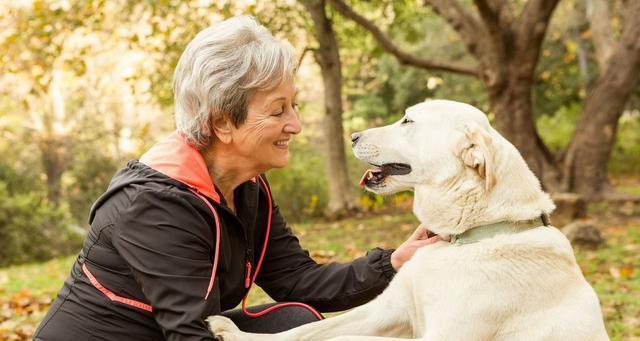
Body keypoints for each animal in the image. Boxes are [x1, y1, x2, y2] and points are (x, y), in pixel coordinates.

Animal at [208, 99, 608, 338]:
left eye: (407, 121)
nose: (353, 135)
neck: (465, 237)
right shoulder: (387, 309)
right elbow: (301, 333)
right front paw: (234, 333)